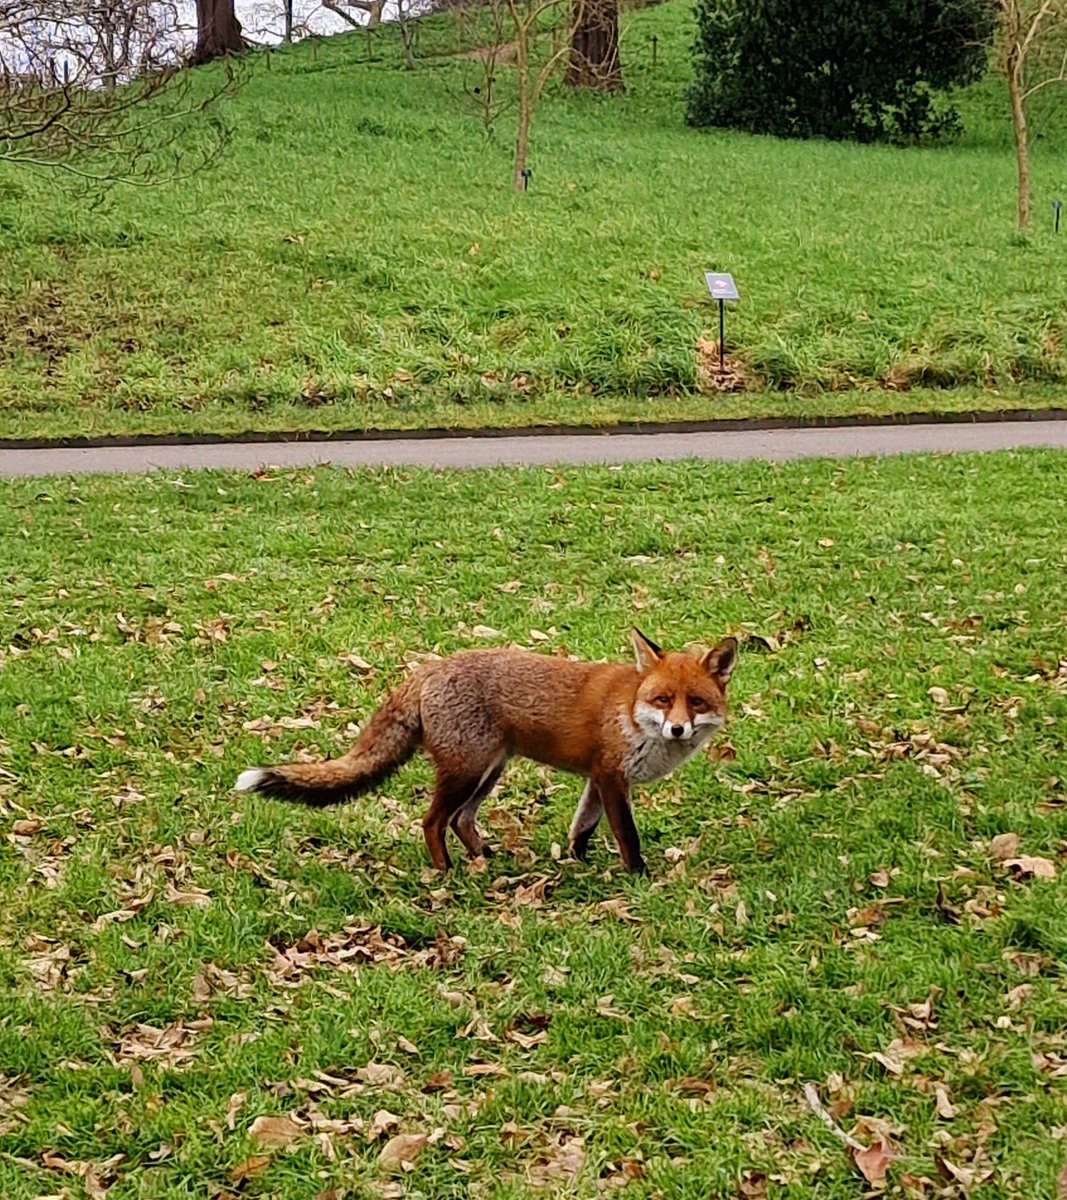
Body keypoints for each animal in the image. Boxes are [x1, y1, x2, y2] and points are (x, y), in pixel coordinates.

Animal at [234, 629, 737, 875]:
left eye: (695, 702)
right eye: (663, 699)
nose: (677, 728)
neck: (632, 713)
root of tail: (428, 669)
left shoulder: (597, 779)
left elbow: (581, 829)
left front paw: (578, 864)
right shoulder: (612, 777)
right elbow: (627, 837)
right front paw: (638, 877)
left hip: (489, 771)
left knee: (460, 820)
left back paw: (483, 859)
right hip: (466, 770)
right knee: (432, 821)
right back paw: (447, 873)